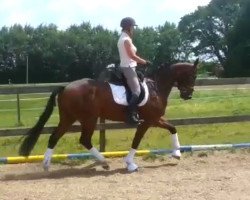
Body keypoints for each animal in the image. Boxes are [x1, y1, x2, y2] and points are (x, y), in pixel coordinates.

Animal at [19, 58, 199, 172]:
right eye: (193, 76)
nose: (188, 95)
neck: (156, 87)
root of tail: (66, 87)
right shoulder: (148, 121)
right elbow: (137, 140)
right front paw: (130, 164)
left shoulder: (155, 119)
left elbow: (172, 128)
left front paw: (177, 154)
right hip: (89, 119)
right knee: (84, 139)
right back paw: (104, 162)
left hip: (69, 118)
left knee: (54, 137)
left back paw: (46, 165)